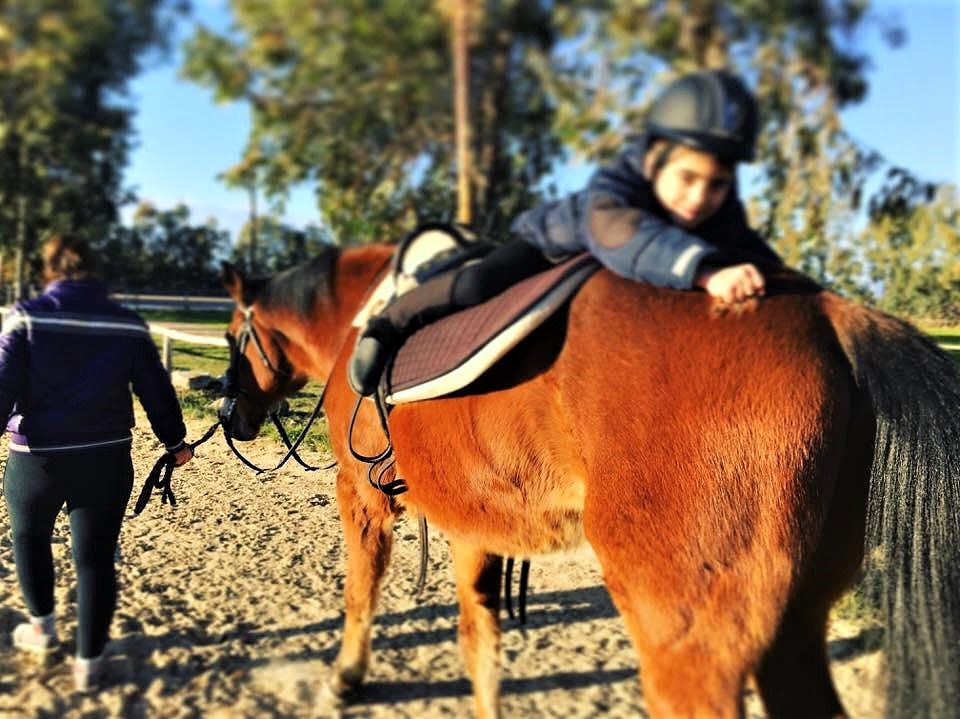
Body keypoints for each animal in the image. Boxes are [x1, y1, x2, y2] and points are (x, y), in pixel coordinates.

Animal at [218, 244, 960, 719]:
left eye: (232, 336)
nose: (228, 413)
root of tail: (832, 316)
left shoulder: (363, 495)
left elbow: (360, 591)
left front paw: (344, 679)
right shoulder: (474, 526)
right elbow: (480, 642)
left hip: (689, 643)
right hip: (793, 629)